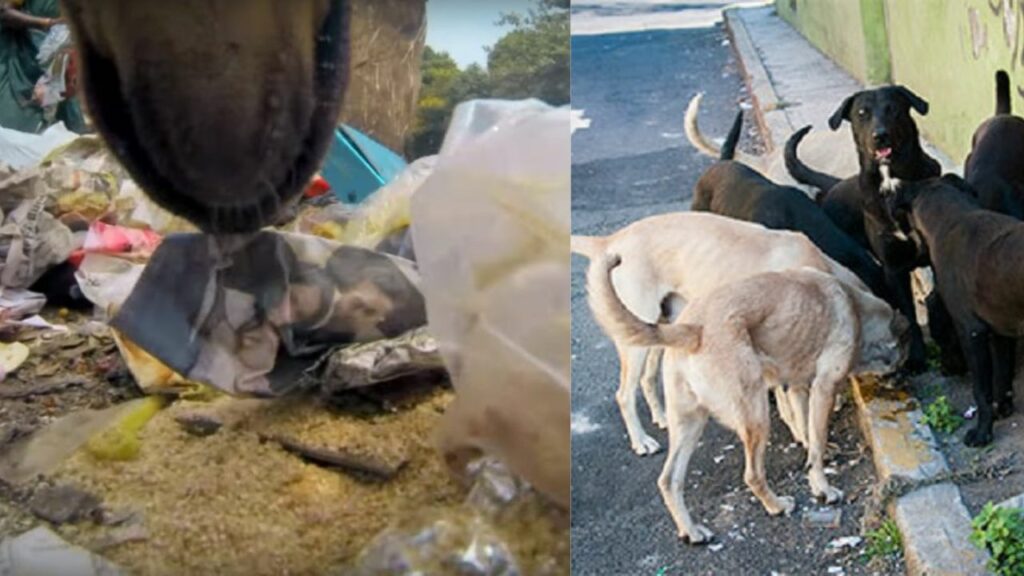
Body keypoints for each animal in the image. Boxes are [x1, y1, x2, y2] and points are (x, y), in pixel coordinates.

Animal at [589, 255, 901, 541]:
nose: (900, 375)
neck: (854, 305)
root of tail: (691, 328)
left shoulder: (797, 388)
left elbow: (805, 431)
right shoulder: (823, 389)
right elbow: (816, 445)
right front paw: (822, 488)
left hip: (689, 424)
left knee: (668, 480)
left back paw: (691, 530)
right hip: (756, 417)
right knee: (752, 475)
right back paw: (776, 505)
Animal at [782, 85, 942, 373]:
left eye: (893, 108)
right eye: (861, 113)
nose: (880, 136)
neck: (891, 182)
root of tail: (833, 184)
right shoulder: (893, 268)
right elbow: (909, 314)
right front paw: (916, 358)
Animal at [888, 175, 1024, 444]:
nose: (945, 370)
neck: (952, 219)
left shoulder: (971, 332)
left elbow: (981, 390)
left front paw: (982, 432)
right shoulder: (1001, 332)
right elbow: (1002, 375)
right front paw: (1002, 408)